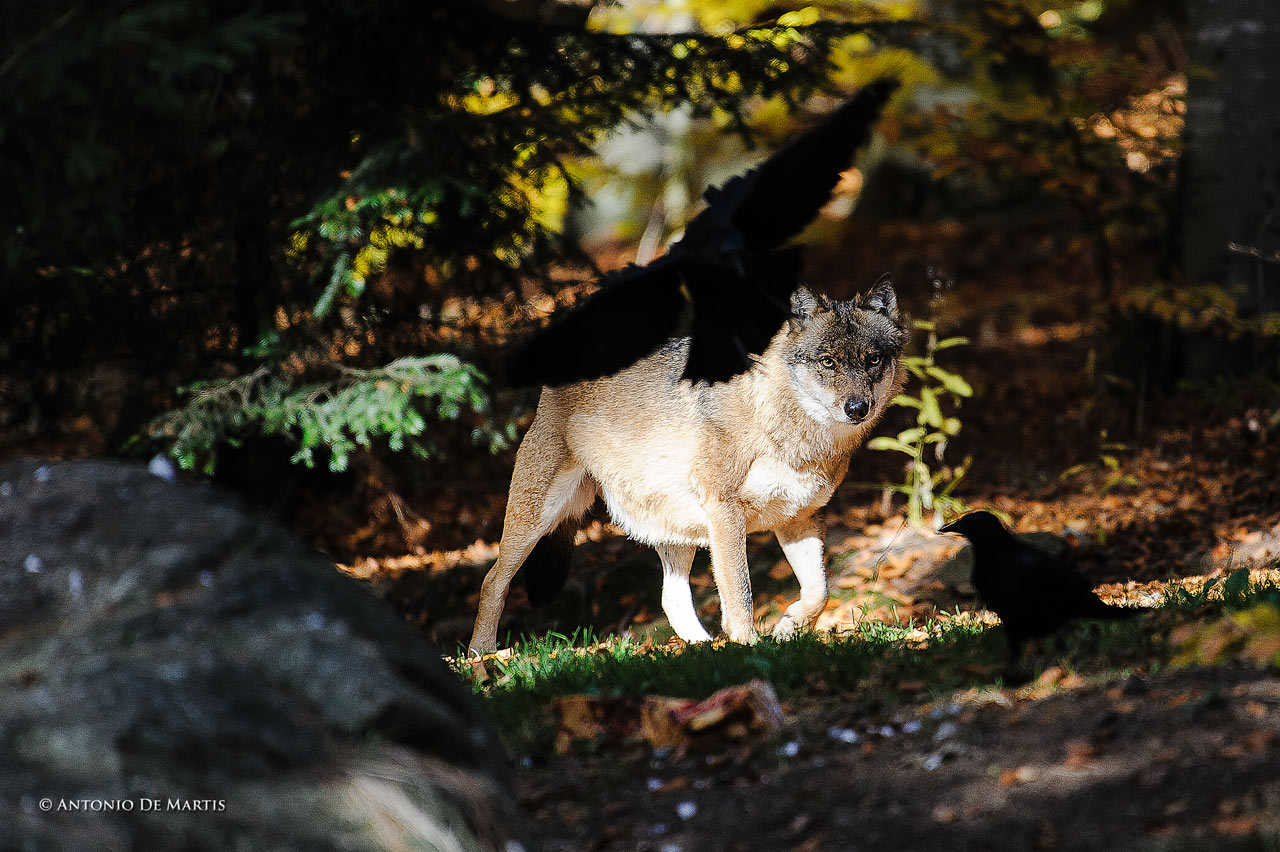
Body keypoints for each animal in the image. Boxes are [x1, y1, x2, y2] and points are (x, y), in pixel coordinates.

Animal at [468, 276, 907, 656]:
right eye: (828, 362)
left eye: (872, 360)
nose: (857, 408)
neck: (786, 428)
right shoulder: (726, 511)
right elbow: (741, 593)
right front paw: (749, 648)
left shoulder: (799, 518)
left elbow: (819, 592)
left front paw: (787, 629)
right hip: (537, 520)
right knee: (492, 581)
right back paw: (481, 657)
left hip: (680, 533)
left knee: (671, 599)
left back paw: (703, 650)